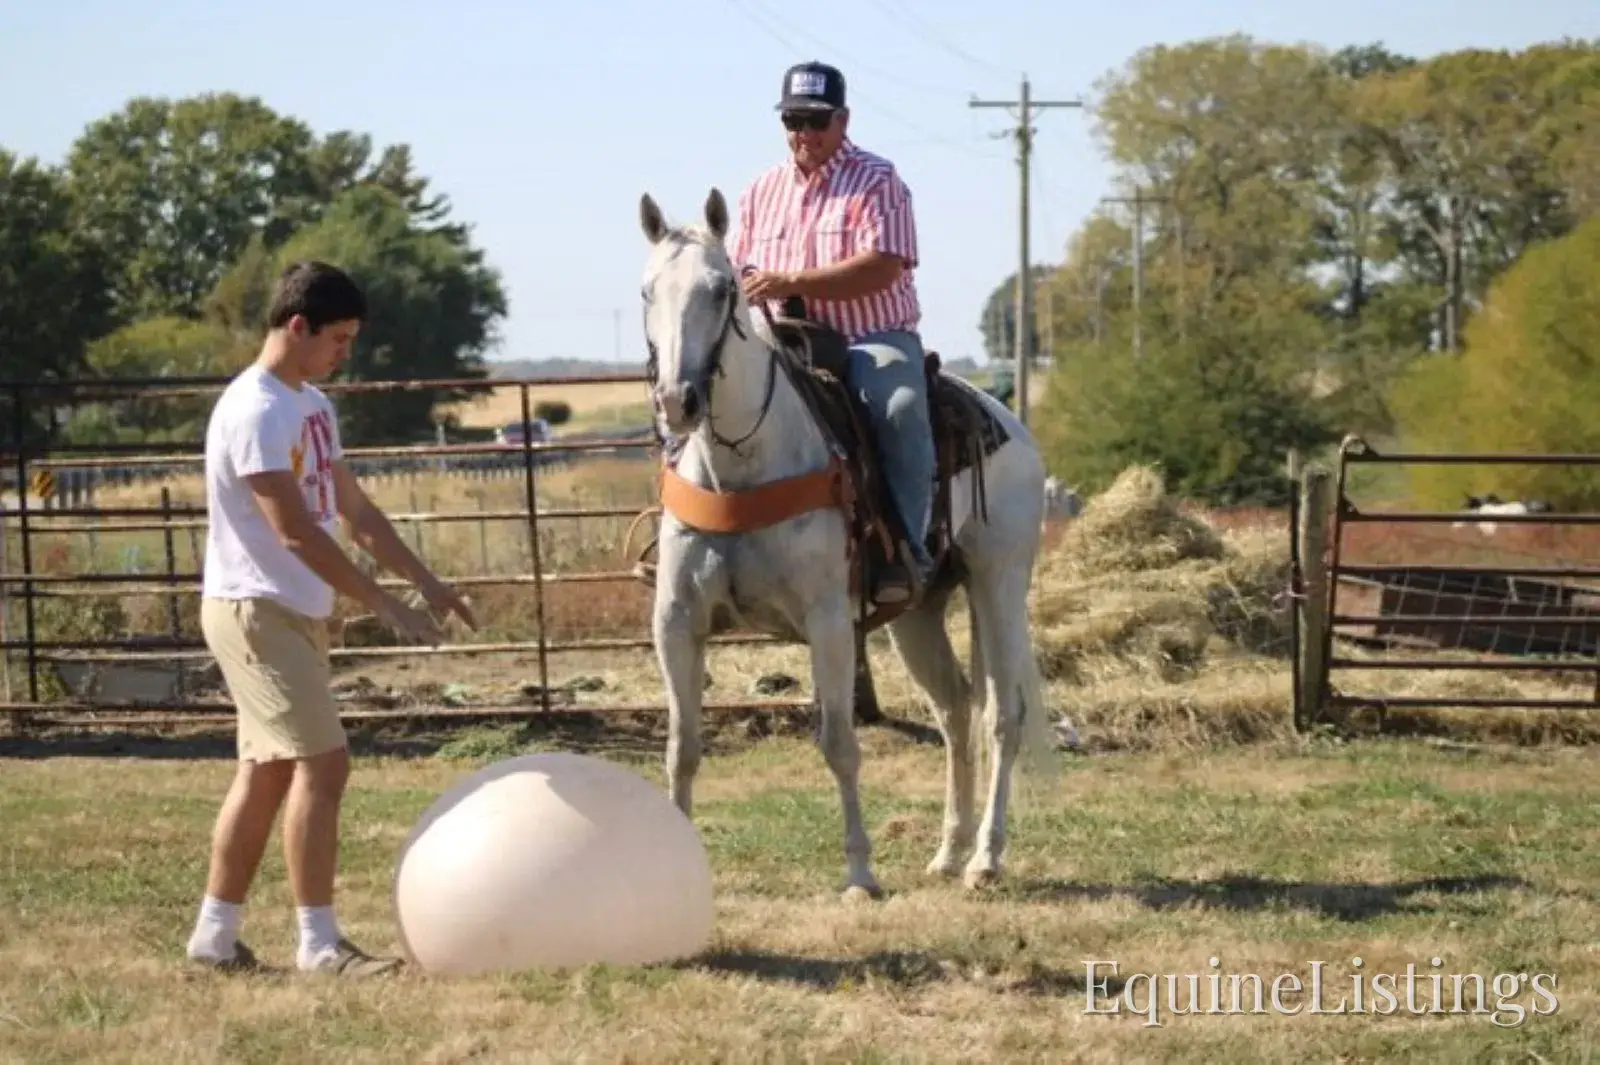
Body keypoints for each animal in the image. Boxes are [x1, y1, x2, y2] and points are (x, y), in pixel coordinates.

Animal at [635, 187, 1060, 899]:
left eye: (722, 289)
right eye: (647, 291)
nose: (677, 400)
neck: (745, 461)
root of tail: (1008, 425)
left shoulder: (829, 622)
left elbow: (838, 742)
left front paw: (860, 872)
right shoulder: (677, 622)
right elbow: (682, 747)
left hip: (999, 581)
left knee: (1003, 714)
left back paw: (985, 858)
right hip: (918, 612)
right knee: (955, 709)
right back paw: (948, 852)